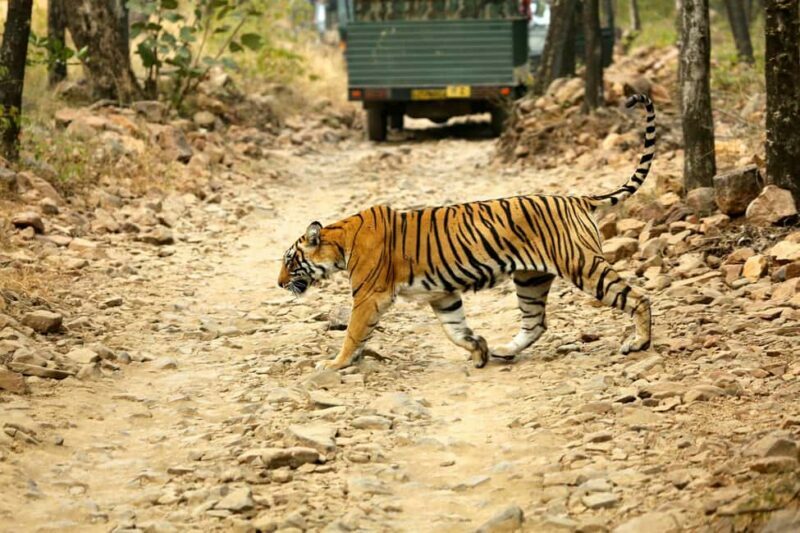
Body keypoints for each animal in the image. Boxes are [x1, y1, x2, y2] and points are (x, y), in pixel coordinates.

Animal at [278, 94, 656, 371]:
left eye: (290, 261)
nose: (280, 284)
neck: (340, 242)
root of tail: (577, 198)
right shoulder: (442, 295)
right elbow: (455, 330)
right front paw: (479, 349)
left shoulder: (370, 296)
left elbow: (354, 333)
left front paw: (334, 364)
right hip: (530, 278)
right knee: (535, 322)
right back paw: (503, 349)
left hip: (582, 265)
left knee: (638, 297)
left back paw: (639, 343)